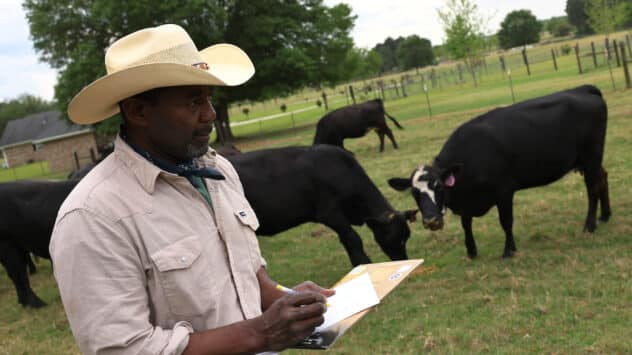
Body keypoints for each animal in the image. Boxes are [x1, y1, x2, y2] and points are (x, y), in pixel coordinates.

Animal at [230, 145, 418, 268]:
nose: (403, 260)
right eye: (393, 237)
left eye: (407, 236)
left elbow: (346, 240)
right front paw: (365, 264)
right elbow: (353, 238)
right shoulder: (329, 213)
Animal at [388, 85, 608, 258]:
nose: (431, 221)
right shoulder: (466, 203)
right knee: (603, 178)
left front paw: (509, 250)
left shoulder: (504, 192)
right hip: (589, 161)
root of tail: (582, 89)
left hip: (590, 158)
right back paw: (605, 216)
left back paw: (590, 226)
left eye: (439, 187)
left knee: (592, 189)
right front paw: (471, 251)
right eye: (414, 193)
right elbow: (466, 224)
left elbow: (506, 222)